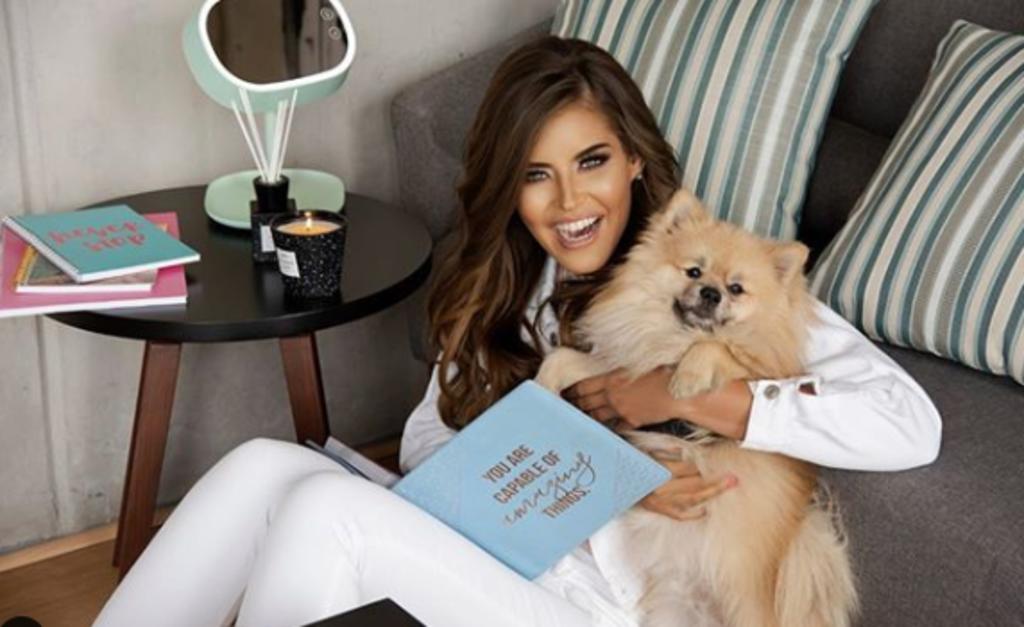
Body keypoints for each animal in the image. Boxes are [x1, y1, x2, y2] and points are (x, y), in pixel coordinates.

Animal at [536, 188, 856, 627]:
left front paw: (686, 379)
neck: (673, 338)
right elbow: (562, 360)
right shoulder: (623, 365)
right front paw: (538, 389)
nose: (710, 293)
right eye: (693, 272)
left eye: (736, 288)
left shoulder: (758, 370)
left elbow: (715, 348)